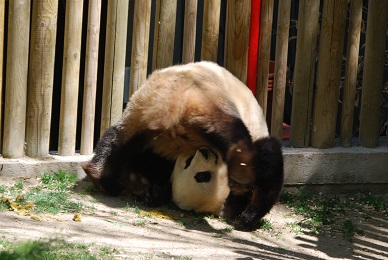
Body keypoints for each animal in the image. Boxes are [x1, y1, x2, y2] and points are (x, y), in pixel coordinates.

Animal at [82, 61, 284, 232]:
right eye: (199, 173)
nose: (204, 154)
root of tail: (179, 103)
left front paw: (148, 190)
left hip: (142, 110)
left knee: (119, 141)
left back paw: (101, 177)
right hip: (212, 102)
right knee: (240, 139)